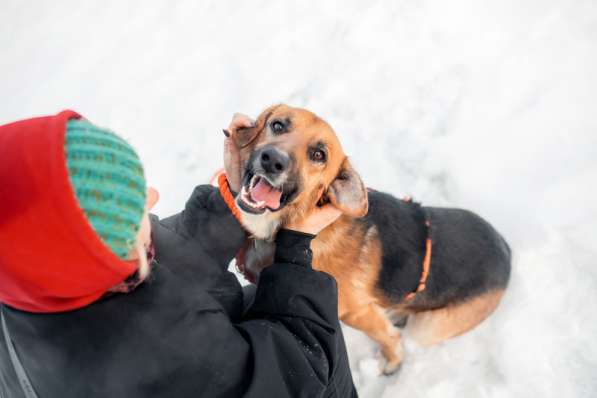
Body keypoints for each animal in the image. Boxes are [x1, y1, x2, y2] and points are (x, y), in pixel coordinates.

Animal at [230, 104, 510, 374]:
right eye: (277, 125)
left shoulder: (359, 313)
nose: (272, 160)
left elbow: (389, 339)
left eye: (319, 155)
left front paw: (393, 363)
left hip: (426, 327)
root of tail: (505, 249)